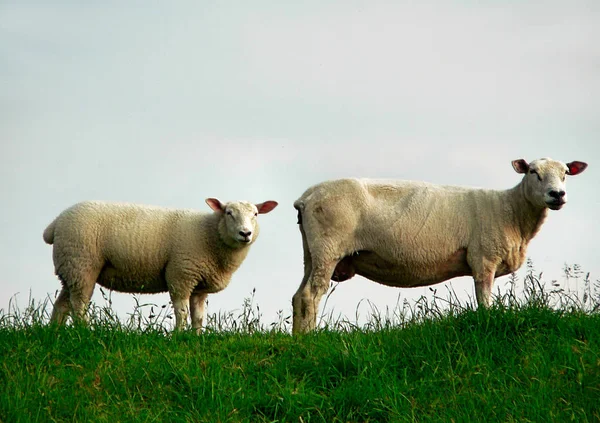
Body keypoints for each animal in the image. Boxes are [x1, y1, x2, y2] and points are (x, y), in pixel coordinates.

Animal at [43, 197, 278, 332]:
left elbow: (199, 317)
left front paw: (196, 338)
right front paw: (179, 336)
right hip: (82, 264)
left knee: (62, 304)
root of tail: (55, 223)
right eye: (229, 213)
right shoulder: (181, 275)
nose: (245, 233)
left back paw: (55, 333)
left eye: (255, 214)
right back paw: (84, 332)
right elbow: (182, 311)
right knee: (79, 304)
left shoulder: (199, 285)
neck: (210, 234)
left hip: (70, 267)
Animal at [292, 159, 588, 334]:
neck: (511, 210)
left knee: (298, 297)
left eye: (565, 174)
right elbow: (485, 302)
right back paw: (311, 340)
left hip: (311, 252)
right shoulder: (483, 258)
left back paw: (298, 339)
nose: (557, 194)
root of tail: (306, 198)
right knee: (310, 296)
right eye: (533, 172)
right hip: (328, 248)